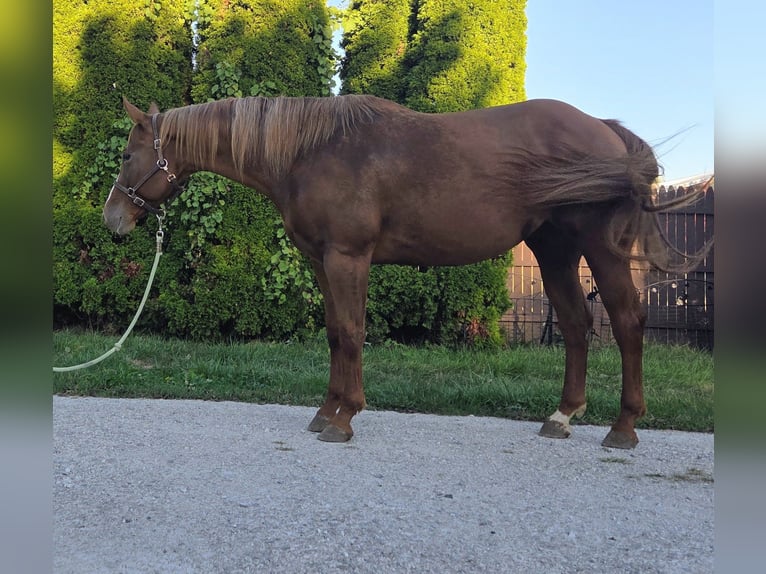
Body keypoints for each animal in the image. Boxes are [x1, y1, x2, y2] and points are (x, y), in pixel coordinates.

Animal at [103, 94, 705, 449]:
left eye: (129, 156)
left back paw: (623, 428)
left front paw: (345, 418)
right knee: (578, 326)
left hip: (601, 251)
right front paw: (325, 411)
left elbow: (352, 332)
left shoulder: (348, 256)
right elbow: (334, 334)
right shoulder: (323, 261)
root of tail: (605, 130)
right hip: (554, 251)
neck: (310, 150)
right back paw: (561, 417)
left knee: (626, 323)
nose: (113, 219)